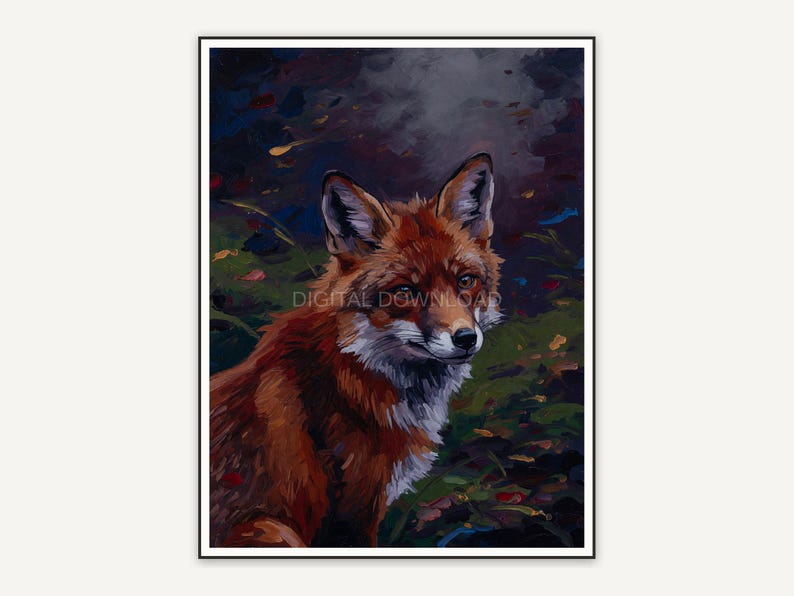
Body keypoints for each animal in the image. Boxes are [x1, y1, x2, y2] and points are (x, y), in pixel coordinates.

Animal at [209, 153, 503, 547]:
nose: (465, 338)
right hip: (275, 530)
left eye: (465, 281)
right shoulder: (351, 515)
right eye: (405, 291)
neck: (352, 369)